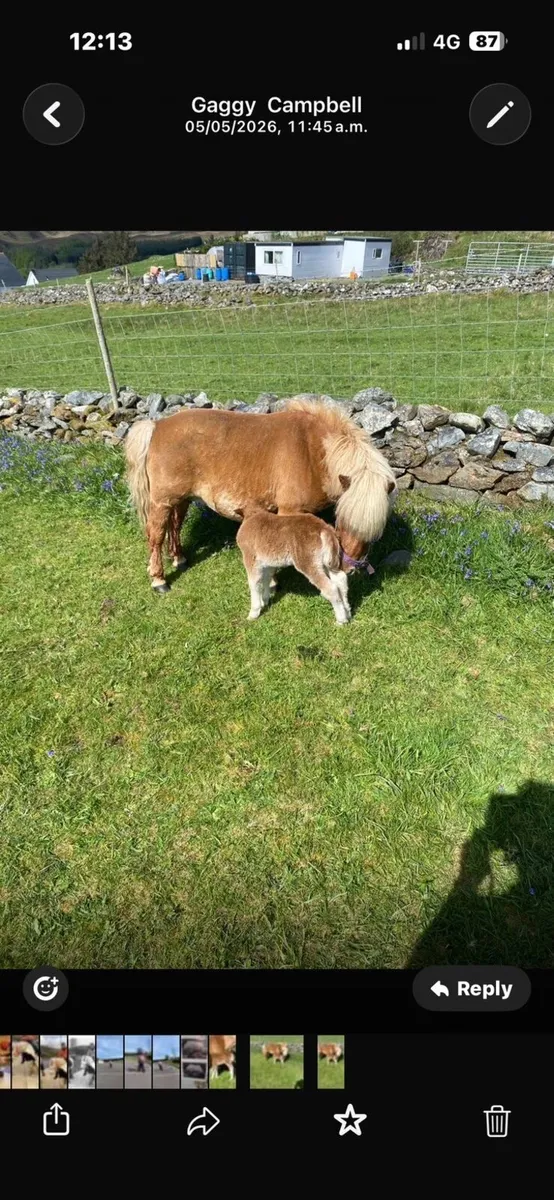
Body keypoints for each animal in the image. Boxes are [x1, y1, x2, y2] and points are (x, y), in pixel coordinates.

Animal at [125, 399, 397, 593]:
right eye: (345, 522)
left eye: (375, 533)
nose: (350, 569)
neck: (313, 452)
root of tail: (157, 426)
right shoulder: (289, 512)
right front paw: (274, 582)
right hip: (161, 501)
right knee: (156, 534)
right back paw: (159, 580)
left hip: (180, 499)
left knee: (175, 526)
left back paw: (179, 558)